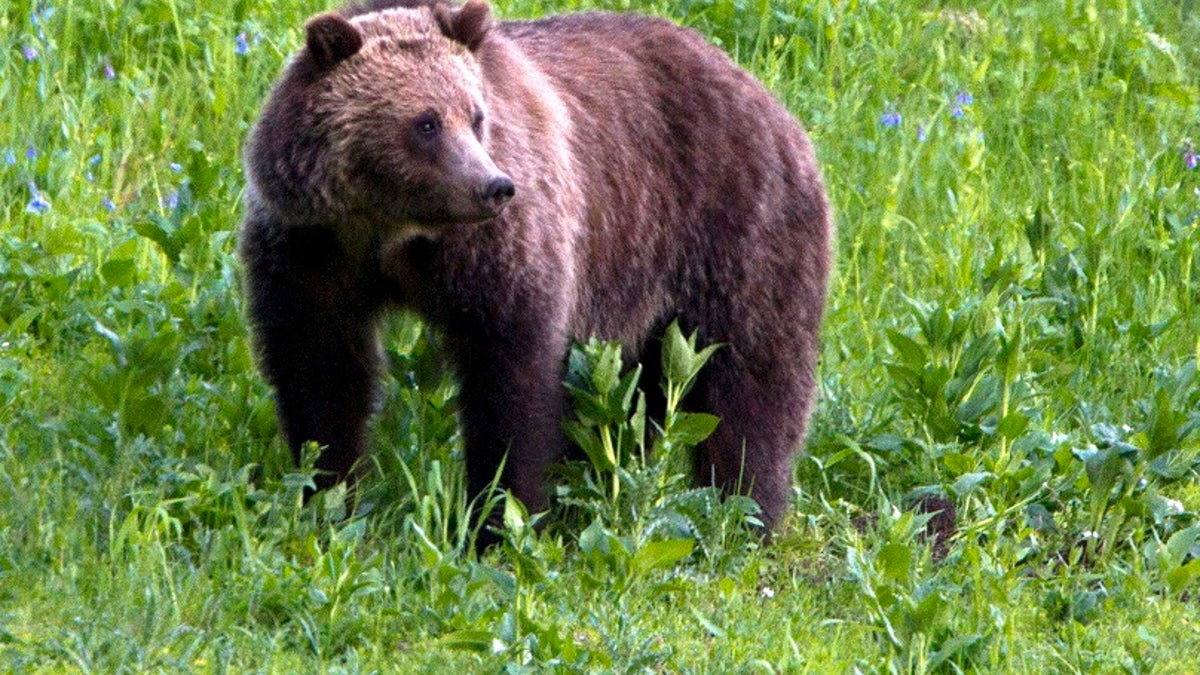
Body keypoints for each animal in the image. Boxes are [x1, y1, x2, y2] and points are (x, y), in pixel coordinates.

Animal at [238, 0, 830, 535]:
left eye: (476, 116)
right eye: (426, 123)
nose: (493, 186)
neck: (391, 232)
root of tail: (762, 91)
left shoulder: (498, 253)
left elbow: (511, 381)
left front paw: (500, 518)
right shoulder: (311, 250)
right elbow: (321, 371)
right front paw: (328, 495)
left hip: (733, 231)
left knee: (752, 379)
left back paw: (744, 512)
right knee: (636, 394)